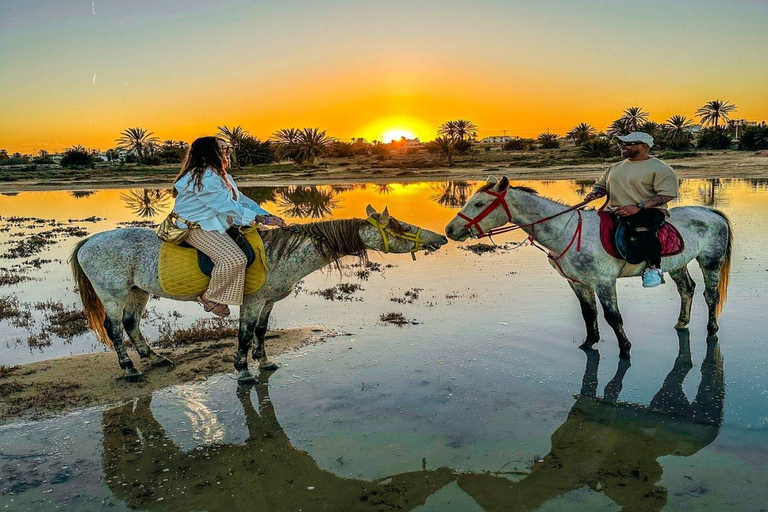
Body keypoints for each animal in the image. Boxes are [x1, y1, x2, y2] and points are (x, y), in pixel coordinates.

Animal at [73, 206, 450, 382]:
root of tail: (89, 242)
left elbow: (261, 331)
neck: (279, 253)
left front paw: (264, 361)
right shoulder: (252, 301)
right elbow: (243, 335)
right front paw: (242, 370)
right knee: (114, 328)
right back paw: (129, 368)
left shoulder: (267, 301)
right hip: (114, 292)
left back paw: (153, 357)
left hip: (138, 290)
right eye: (403, 226)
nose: (441, 238)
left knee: (131, 323)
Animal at [444, 178, 732, 358]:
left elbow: (613, 317)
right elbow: (588, 314)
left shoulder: (604, 282)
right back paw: (682, 322)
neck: (566, 231)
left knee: (710, 295)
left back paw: (712, 329)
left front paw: (625, 349)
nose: (450, 230)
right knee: (687, 289)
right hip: (677, 263)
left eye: (479, 204)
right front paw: (589, 343)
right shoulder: (578, 283)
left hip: (710, 261)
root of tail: (711, 213)